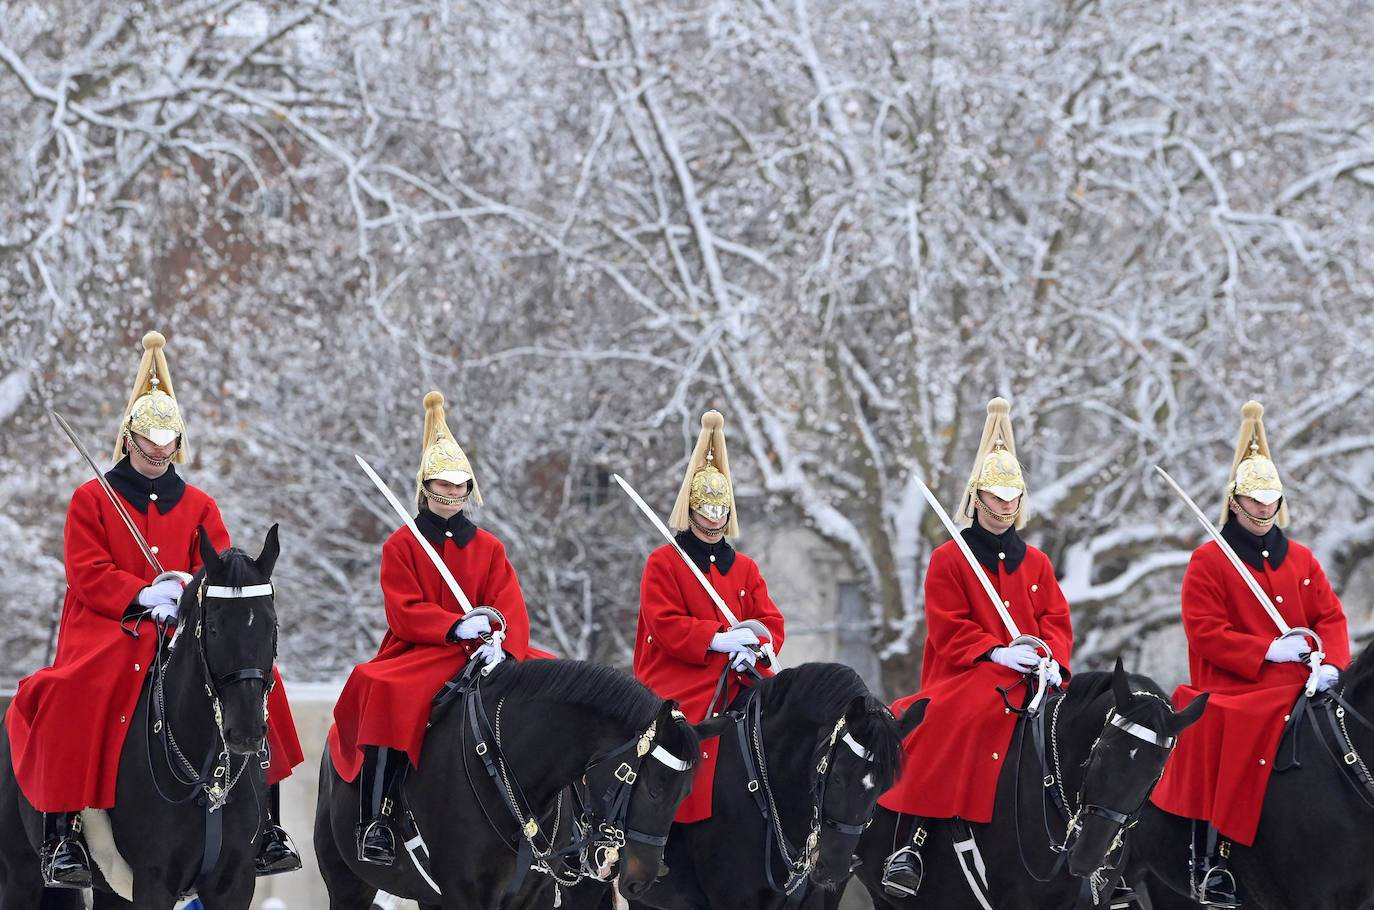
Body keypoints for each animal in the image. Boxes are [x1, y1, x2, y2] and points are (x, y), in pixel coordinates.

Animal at [314, 657, 724, 910]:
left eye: (686, 794)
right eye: (654, 788)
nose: (644, 882)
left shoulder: (534, 895)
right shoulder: (464, 893)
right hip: (349, 885)